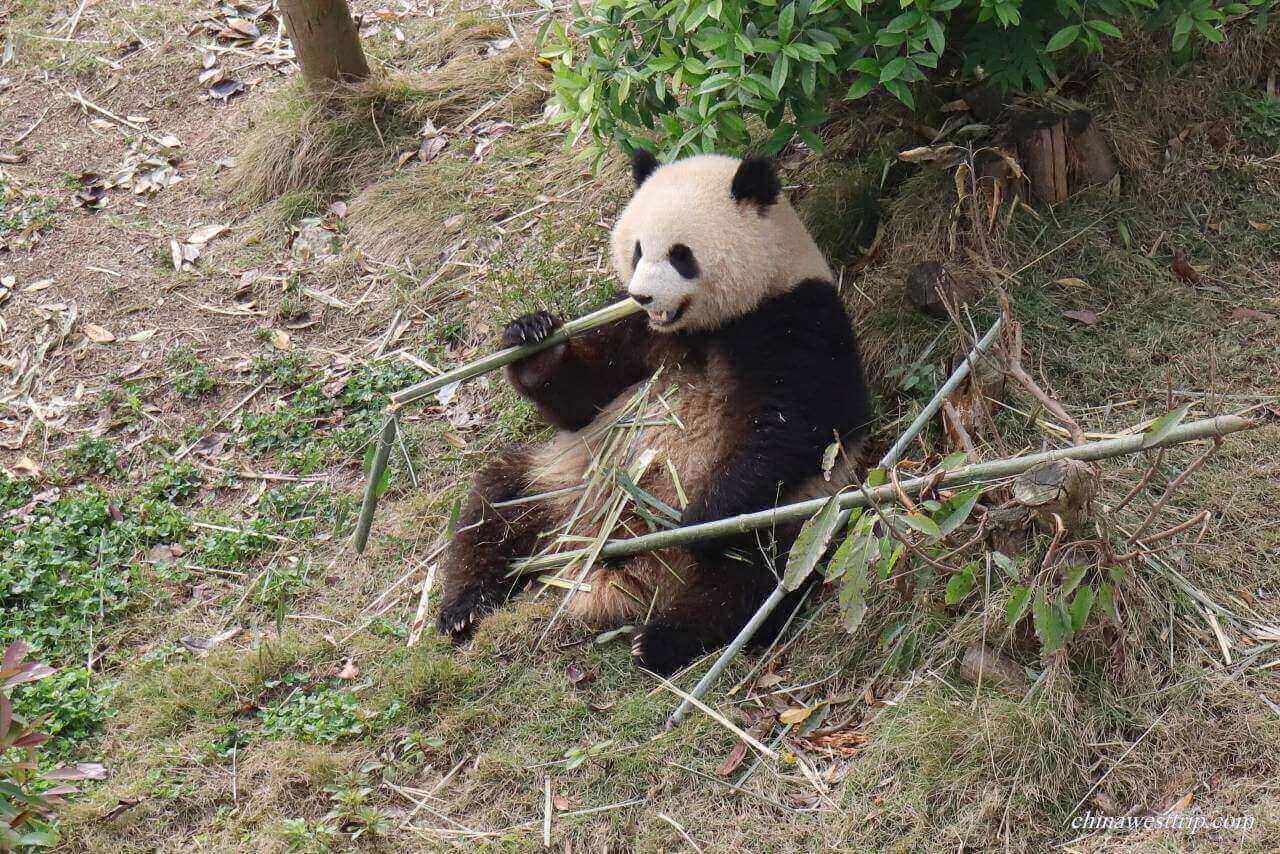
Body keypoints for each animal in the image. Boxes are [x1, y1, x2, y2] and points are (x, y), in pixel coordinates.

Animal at [435, 149, 873, 675]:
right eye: (638, 250)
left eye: (681, 255)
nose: (644, 295)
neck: (710, 323)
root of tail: (627, 577)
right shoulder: (633, 328)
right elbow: (581, 400)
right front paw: (531, 335)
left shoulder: (799, 319)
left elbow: (796, 425)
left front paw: (696, 519)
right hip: (563, 480)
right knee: (495, 504)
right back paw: (462, 606)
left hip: (800, 518)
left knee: (755, 577)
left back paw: (665, 637)